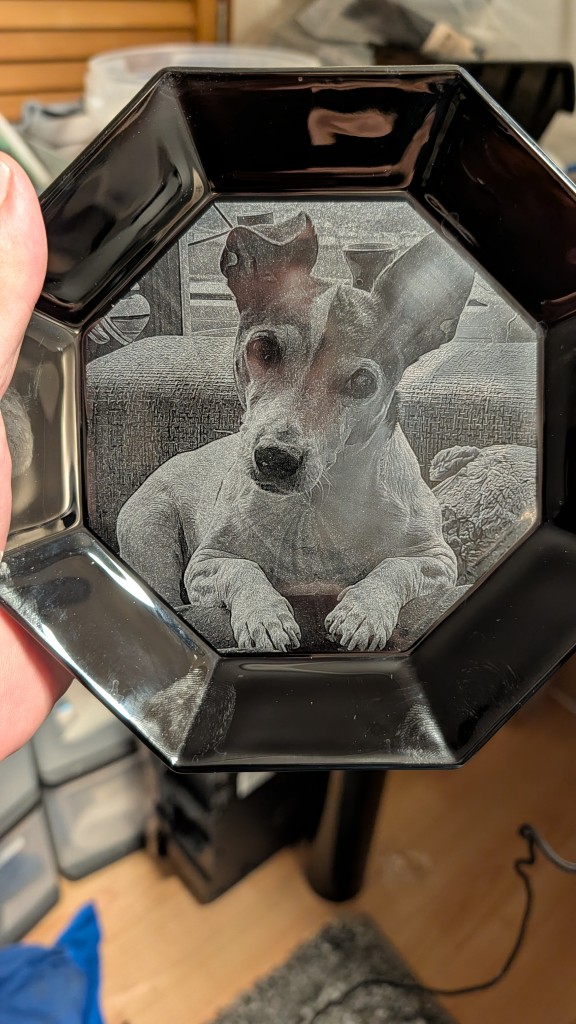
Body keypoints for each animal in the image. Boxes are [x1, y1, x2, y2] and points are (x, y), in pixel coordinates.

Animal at [117, 212, 474, 652]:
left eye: (362, 383)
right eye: (264, 349)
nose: (275, 457)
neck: (314, 506)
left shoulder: (437, 560)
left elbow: (394, 567)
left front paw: (363, 611)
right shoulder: (206, 564)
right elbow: (244, 571)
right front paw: (265, 616)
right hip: (153, 537)